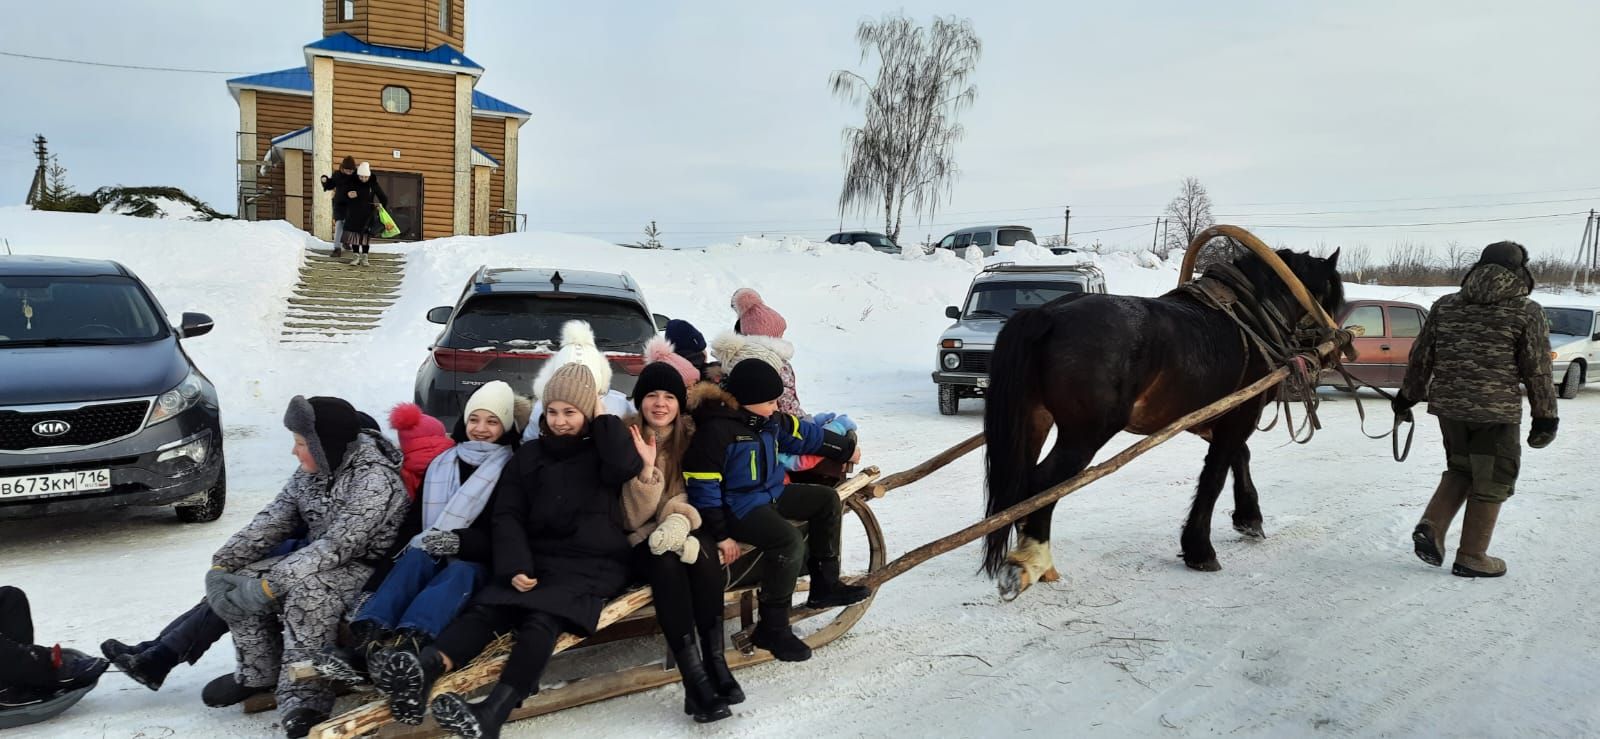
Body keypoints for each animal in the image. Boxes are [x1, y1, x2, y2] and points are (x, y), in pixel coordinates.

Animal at [985, 247, 1337, 601]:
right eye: (1331, 297)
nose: (1332, 352)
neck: (1250, 318)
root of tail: (1047, 315)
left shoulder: (1209, 417)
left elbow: (1239, 457)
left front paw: (1248, 518)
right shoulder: (1241, 411)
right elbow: (1215, 474)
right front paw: (1200, 549)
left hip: (1034, 421)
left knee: (1022, 484)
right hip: (1084, 435)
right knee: (1042, 484)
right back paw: (1030, 561)